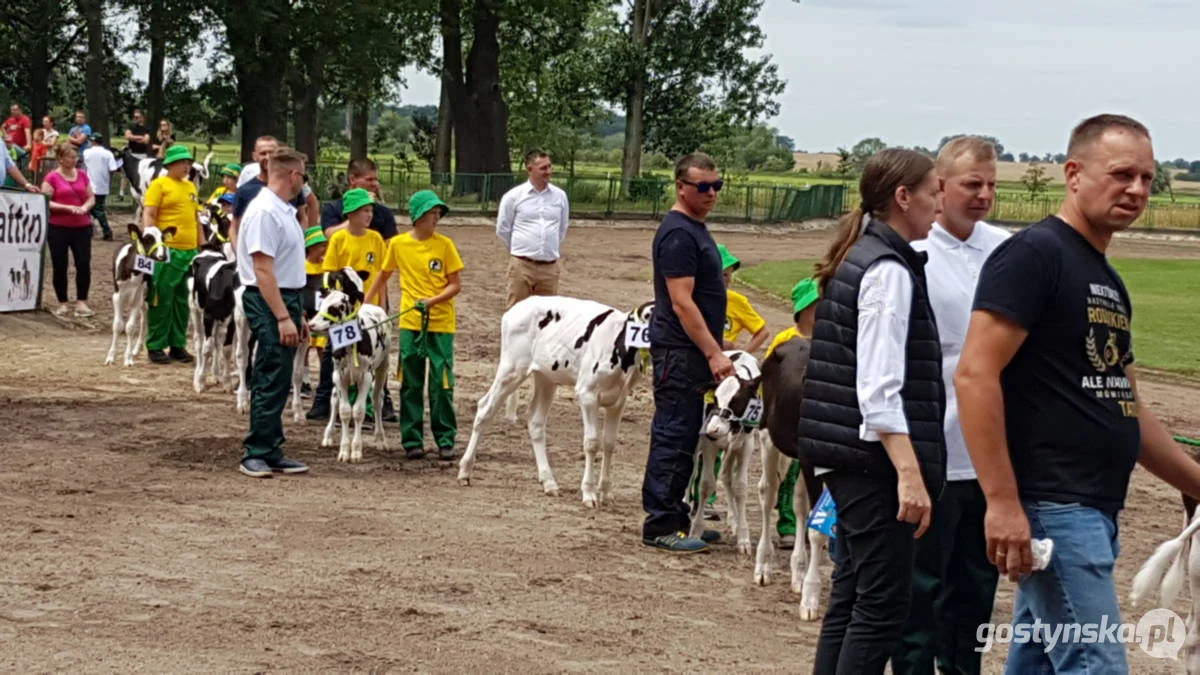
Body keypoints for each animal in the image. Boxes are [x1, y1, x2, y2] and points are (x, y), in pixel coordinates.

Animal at [105, 223, 176, 362]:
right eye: (148, 238)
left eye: (163, 238)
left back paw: (135, 350)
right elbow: (117, 325)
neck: (134, 272)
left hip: (144, 297)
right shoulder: (117, 296)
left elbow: (130, 327)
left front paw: (128, 358)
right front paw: (111, 356)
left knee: (144, 321)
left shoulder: (138, 297)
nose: (163, 256)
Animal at [307, 267, 391, 461]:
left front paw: (356, 450)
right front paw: (344, 450)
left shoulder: (366, 377)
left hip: (382, 368)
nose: (311, 324)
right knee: (334, 399)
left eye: (334, 308)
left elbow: (359, 411)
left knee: (377, 400)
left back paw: (381, 439)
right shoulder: (340, 375)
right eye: (322, 304)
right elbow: (345, 411)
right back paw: (328, 435)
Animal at [458, 294, 652, 504]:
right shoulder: (587, 394)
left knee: (535, 422)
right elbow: (592, 442)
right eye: (648, 316)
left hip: (546, 378)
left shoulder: (619, 401)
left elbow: (609, 443)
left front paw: (606, 491)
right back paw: (465, 471)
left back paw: (549, 482)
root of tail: (519, 306)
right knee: (485, 409)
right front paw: (589, 492)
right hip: (512, 370)